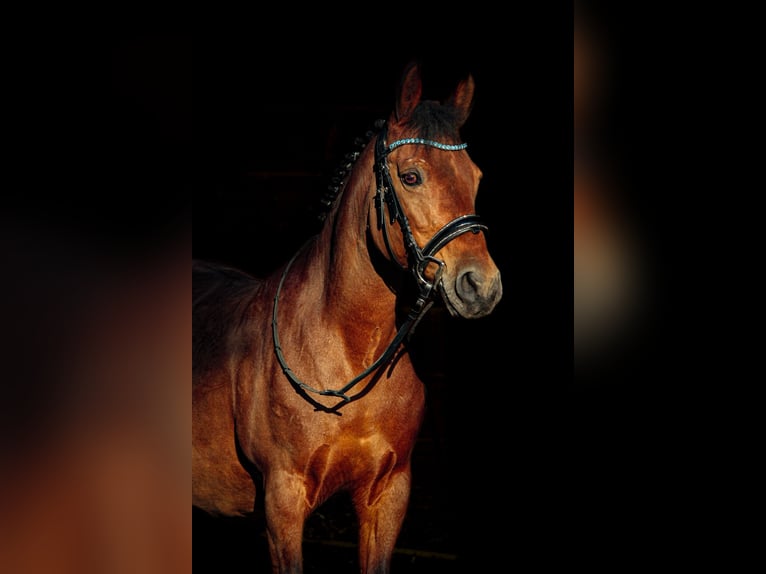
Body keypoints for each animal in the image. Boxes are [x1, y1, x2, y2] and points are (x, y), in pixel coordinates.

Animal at [192, 60, 503, 573]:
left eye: (475, 176)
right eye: (411, 177)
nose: (481, 286)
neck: (347, 349)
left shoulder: (387, 494)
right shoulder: (283, 503)